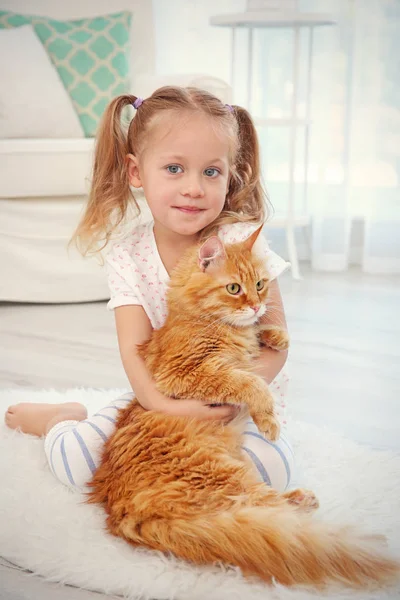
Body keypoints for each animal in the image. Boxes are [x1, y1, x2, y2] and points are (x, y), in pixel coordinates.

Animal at [88, 227, 400, 588]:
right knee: (267, 509)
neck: (202, 319)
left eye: (261, 284)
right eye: (234, 288)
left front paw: (275, 334)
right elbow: (250, 383)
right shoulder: (184, 374)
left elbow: (258, 340)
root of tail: (120, 510)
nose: (256, 304)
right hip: (226, 475)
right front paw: (268, 418)